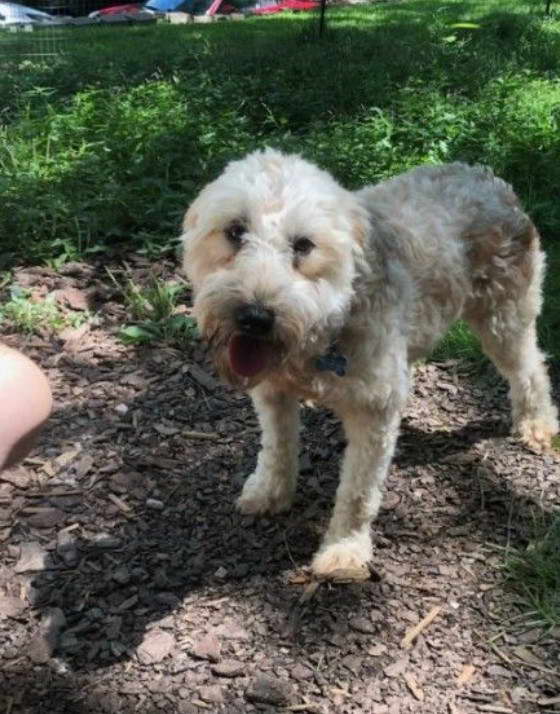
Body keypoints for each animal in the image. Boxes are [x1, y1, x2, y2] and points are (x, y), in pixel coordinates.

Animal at [182, 150, 556, 580]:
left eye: (304, 245)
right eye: (235, 231)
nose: (254, 317)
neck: (325, 329)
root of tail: (485, 177)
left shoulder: (373, 411)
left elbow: (358, 491)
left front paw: (344, 551)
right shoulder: (273, 393)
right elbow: (277, 447)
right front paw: (270, 492)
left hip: (504, 317)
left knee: (530, 368)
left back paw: (537, 423)